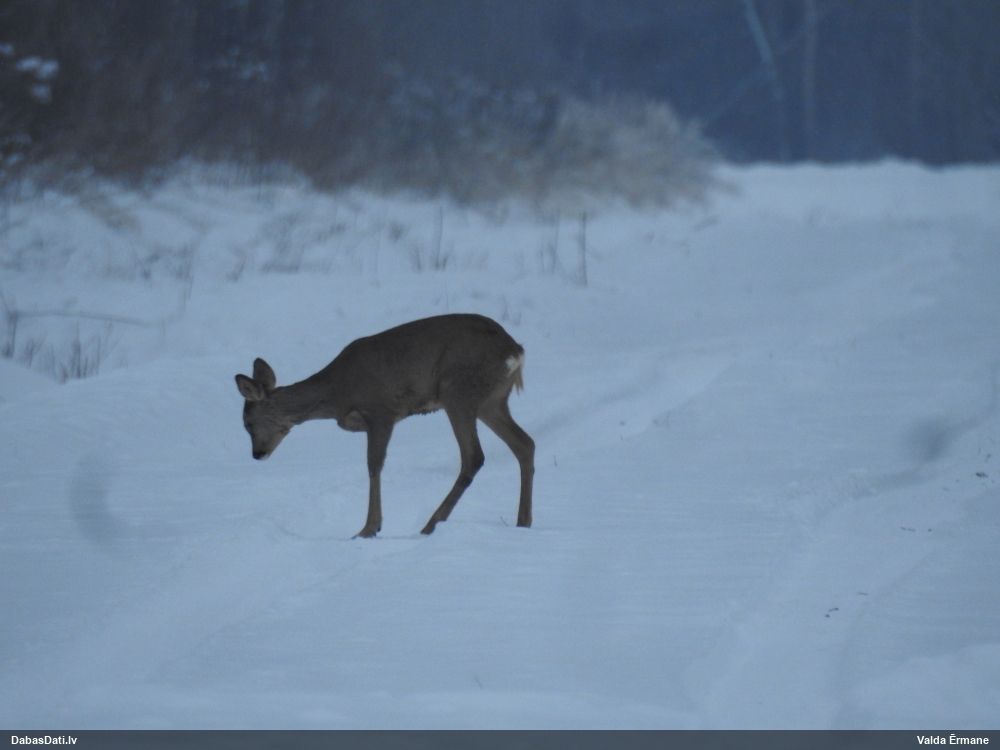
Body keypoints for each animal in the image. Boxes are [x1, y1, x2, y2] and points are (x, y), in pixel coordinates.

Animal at [234, 314, 534, 538]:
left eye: (247, 423)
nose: (257, 454)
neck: (336, 393)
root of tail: (515, 350)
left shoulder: (381, 411)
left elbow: (373, 465)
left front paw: (368, 529)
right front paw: (371, 526)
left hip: (458, 391)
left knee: (474, 456)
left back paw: (430, 525)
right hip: (491, 401)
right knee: (524, 443)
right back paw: (523, 522)